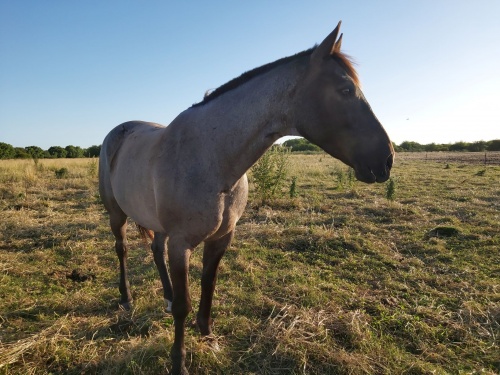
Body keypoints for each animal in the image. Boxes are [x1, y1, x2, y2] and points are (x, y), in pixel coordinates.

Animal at [97, 22, 394, 374]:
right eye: (346, 90)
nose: (387, 159)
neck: (211, 158)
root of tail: (119, 131)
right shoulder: (181, 244)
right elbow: (185, 303)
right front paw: (179, 361)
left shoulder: (221, 237)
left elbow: (208, 285)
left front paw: (208, 335)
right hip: (117, 214)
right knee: (122, 249)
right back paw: (126, 298)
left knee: (156, 251)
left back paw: (165, 297)